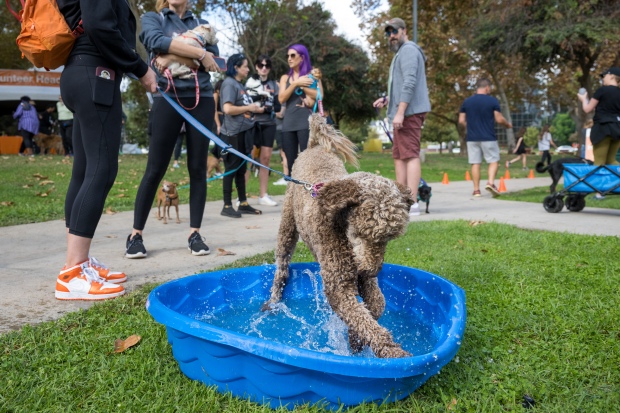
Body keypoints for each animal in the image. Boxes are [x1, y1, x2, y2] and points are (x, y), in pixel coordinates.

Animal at [262, 113, 416, 358]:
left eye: (387, 239)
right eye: (360, 234)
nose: (373, 270)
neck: (338, 222)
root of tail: (313, 146)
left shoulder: (363, 278)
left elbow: (377, 304)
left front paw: (355, 338)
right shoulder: (339, 286)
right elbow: (361, 318)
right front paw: (390, 351)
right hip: (287, 227)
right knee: (282, 267)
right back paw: (274, 299)